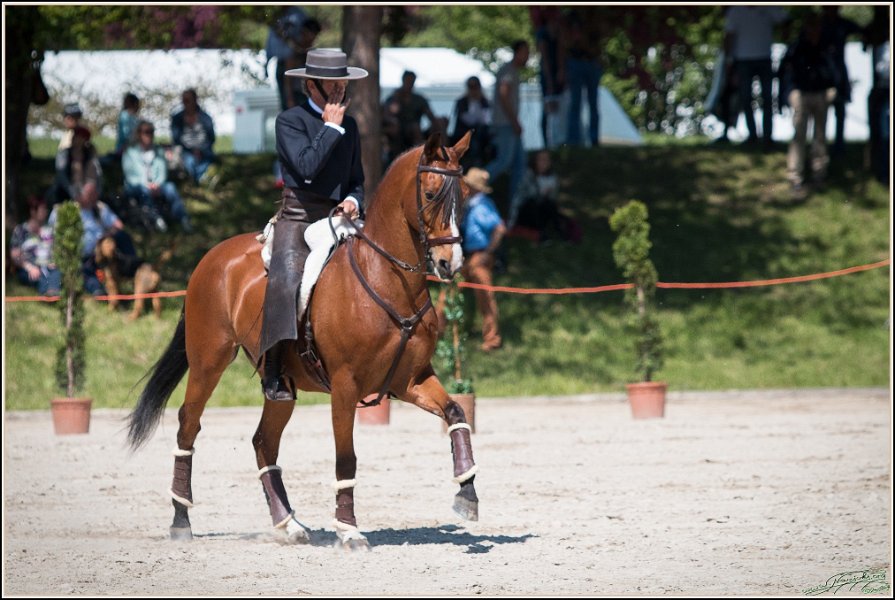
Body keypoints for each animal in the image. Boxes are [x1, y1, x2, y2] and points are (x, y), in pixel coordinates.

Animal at [126, 132, 479, 549]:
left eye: (465, 195)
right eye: (430, 192)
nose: (449, 263)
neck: (387, 280)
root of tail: (211, 257)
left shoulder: (411, 380)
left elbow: (457, 414)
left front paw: (467, 494)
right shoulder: (345, 386)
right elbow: (346, 457)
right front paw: (348, 529)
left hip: (281, 387)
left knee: (263, 441)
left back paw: (288, 524)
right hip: (209, 362)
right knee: (188, 425)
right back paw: (181, 519)